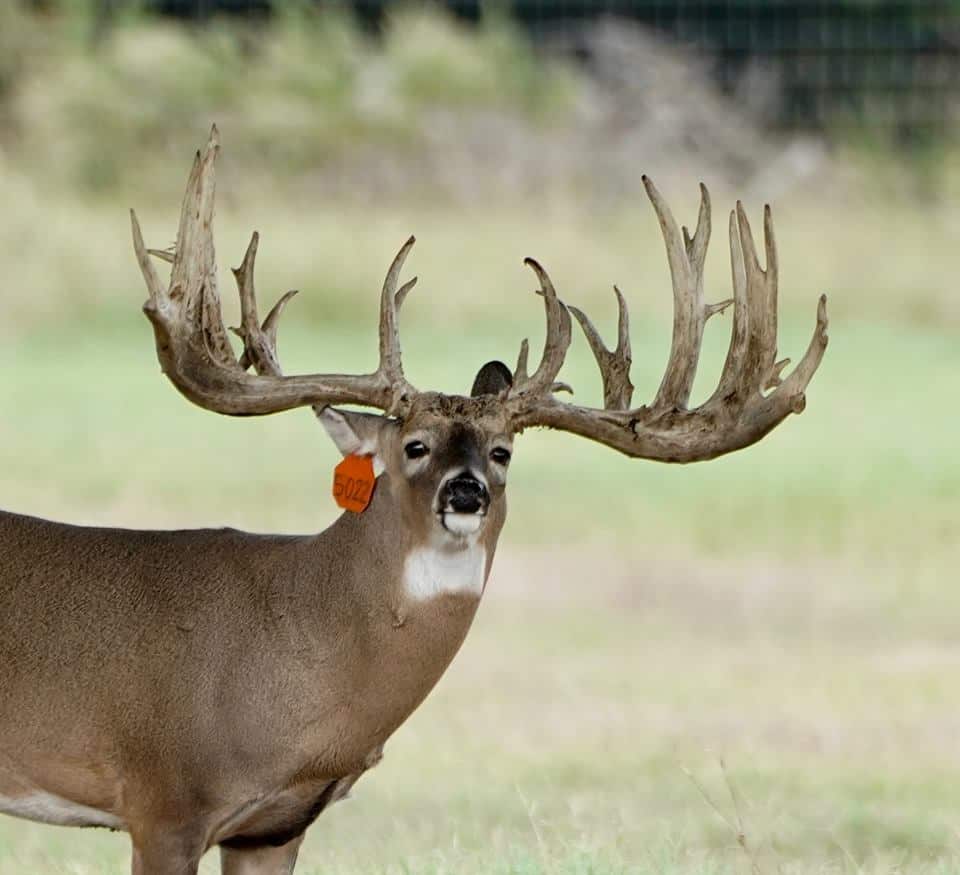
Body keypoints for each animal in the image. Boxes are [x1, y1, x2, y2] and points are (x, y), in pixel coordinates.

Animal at [0, 127, 828, 874]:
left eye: (502, 453)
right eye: (414, 446)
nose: (466, 492)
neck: (292, 645)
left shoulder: (275, 825)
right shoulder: (165, 798)